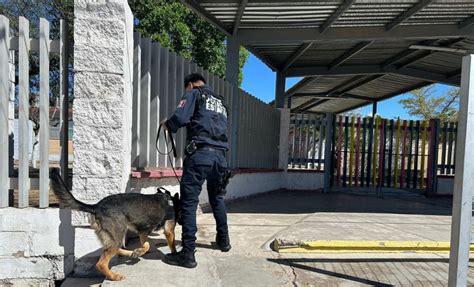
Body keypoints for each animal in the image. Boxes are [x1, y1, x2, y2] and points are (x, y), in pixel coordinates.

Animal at [49, 169, 180, 282]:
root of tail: (96, 206)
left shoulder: (143, 231)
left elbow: (146, 245)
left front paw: (138, 251)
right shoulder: (150, 230)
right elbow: (149, 245)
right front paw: (172, 252)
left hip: (114, 235)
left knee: (115, 249)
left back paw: (130, 254)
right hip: (118, 233)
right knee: (102, 263)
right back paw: (114, 276)